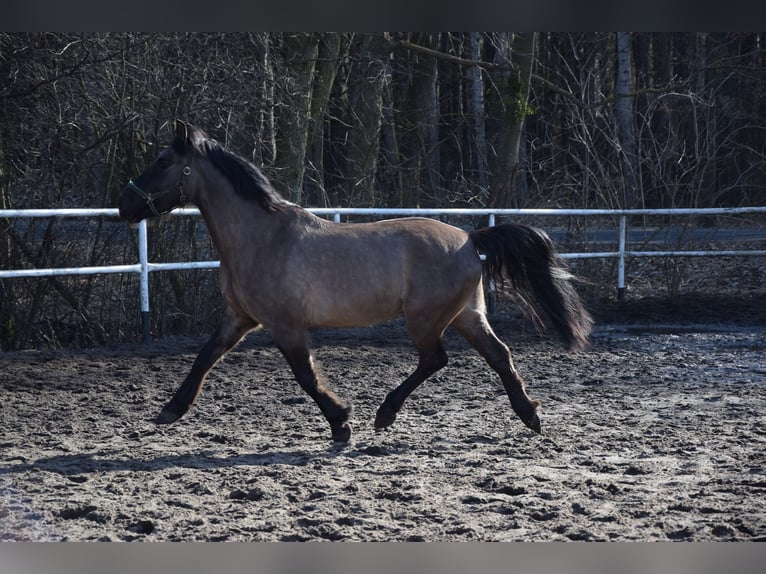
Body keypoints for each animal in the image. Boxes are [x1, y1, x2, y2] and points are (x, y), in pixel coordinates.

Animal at [118, 120, 593, 442]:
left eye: (163, 161)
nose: (124, 205)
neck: (260, 237)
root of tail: (469, 238)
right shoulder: (239, 317)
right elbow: (204, 357)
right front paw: (170, 410)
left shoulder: (284, 325)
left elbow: (306, 376)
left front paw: (341, 422)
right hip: (467, 315)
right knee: (499, 355)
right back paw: (530, 415)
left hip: (426, 319)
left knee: (435, 359)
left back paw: (386, 414)